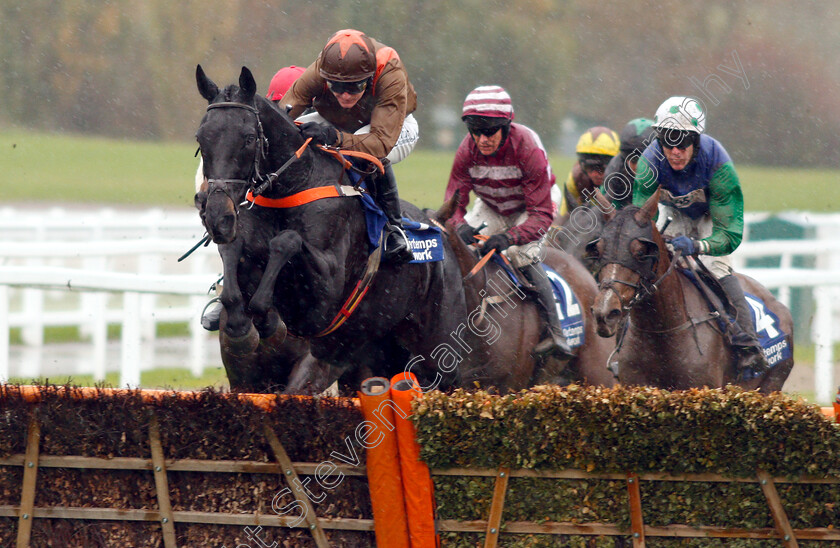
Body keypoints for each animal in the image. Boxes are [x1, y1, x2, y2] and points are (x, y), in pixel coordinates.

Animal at [197, 66, 470, 394]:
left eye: (249, 138)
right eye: (201, 138)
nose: (216, 213)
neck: (294, 183)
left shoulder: (322, 301)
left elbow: (286, 241)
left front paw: (268, 320)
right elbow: (234, 252)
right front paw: (243, 326)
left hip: (437, 349)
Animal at [588, 191, 792, 392]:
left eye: (640, 252)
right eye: (599, 249)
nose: (606, 313)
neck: (660, 332)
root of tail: (778, 303)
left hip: (772, 383)